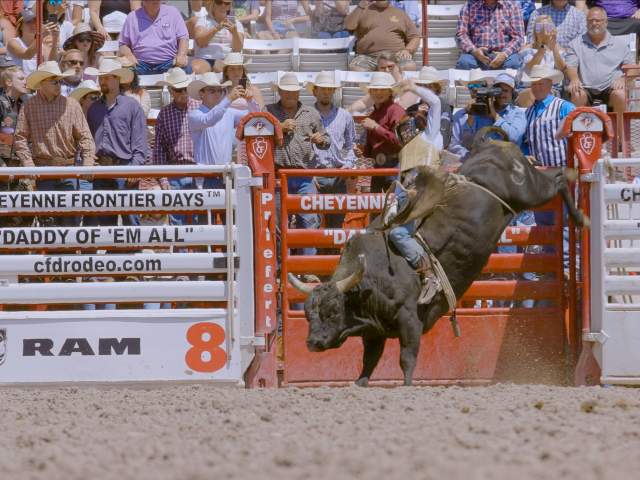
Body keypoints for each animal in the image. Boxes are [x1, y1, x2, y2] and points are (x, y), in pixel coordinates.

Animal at [288, 129, 587, 386]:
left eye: (332, 310)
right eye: (307, 314)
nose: (312, 343)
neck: (371, 279)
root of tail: (491, 146)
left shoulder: (409, 319)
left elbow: (407, 358)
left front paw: (407, 385)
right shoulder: (375, 332)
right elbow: (368, 362)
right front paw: (359, 383)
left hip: (531, 189)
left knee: (558, 178)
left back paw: (580, 216)